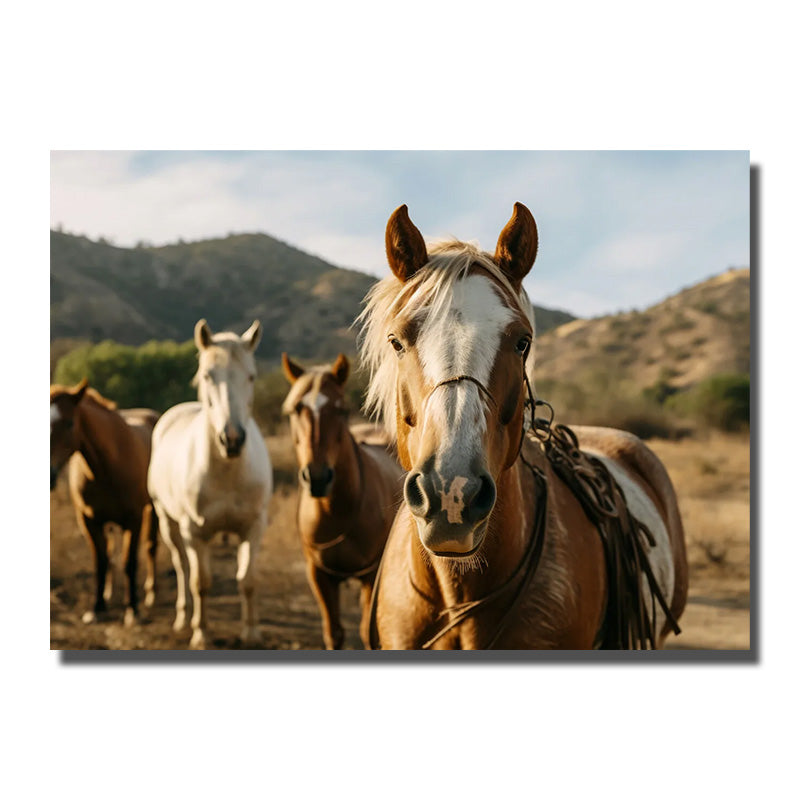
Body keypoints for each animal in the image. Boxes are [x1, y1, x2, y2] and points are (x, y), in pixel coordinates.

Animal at [50, 379, 160, 625]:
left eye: (70, 423)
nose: (49, 475)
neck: (107, 464)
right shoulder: (89, 521)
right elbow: (100, 561)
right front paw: (97, 607)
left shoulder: (134, 520)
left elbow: (129, 562)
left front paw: (132, 610)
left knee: (151, 547)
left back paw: (151, 594)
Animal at [147, 319, 273, 649]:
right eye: (207, 375)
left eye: (251, 376)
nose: (232, 439)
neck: (227, 471)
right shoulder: (194, 532)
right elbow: (200, 582)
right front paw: (201, 634)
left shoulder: (253, 527)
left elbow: (248, 580)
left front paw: (251, 632)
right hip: (167, 522)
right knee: (182, 566)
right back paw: (183, 617)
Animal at [281, 353, 404, 649]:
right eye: (294, 410)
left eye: (341, 410)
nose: (317, 477)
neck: (335, 511)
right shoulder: (319, 575)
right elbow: (334, 633)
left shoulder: (372, 574)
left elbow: (369, 634)